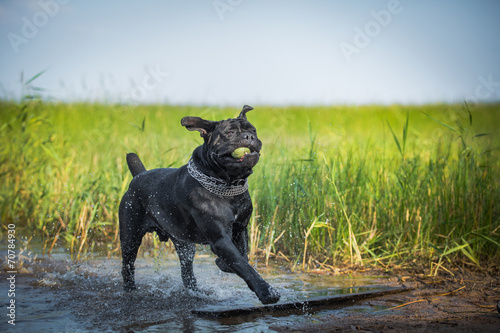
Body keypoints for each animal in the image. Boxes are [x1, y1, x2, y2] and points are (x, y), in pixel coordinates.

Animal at [118, 104, 282, 304]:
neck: (228, 184)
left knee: (187, 272)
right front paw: (267, 291)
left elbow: (242, 255)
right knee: (127, 266)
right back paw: (131, 291)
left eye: (253, 131)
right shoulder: (220, 239)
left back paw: (197, 292)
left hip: (184, 245)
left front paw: (224, 264)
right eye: (230, 133)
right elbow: (244, 265)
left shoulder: (240, 228)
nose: (249, 137)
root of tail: (138, 176)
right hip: (130, 237)